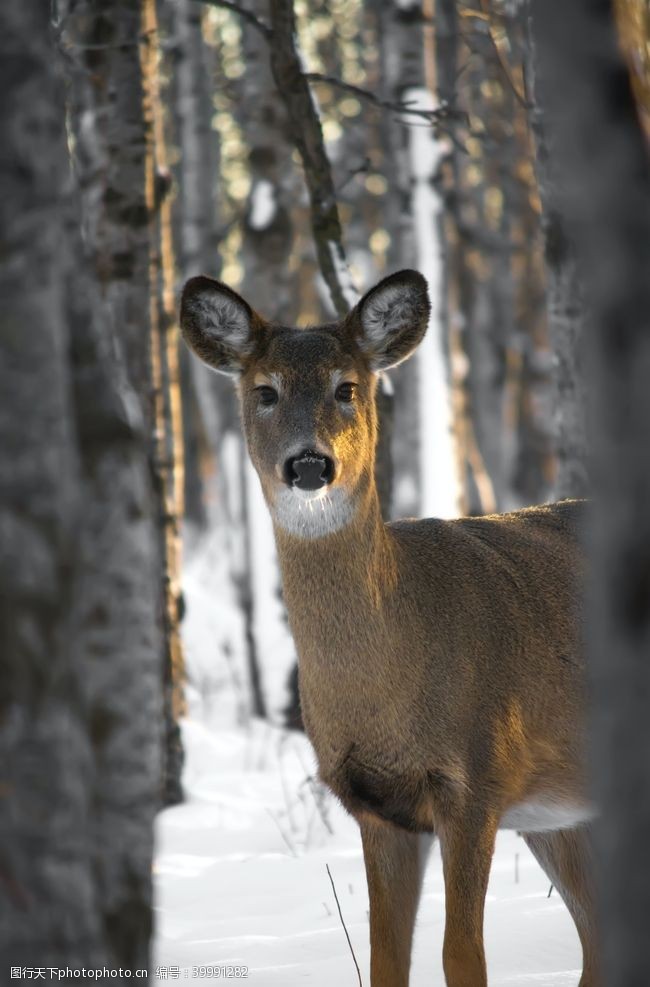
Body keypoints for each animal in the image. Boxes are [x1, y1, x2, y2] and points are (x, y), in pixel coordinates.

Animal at [180, 270, 596, 987]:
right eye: (265, 390)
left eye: (346, 387)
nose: (309, 464)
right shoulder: (377, 808)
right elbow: (384, 957)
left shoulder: (476, 778)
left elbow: (462, 954)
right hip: (562, 816)